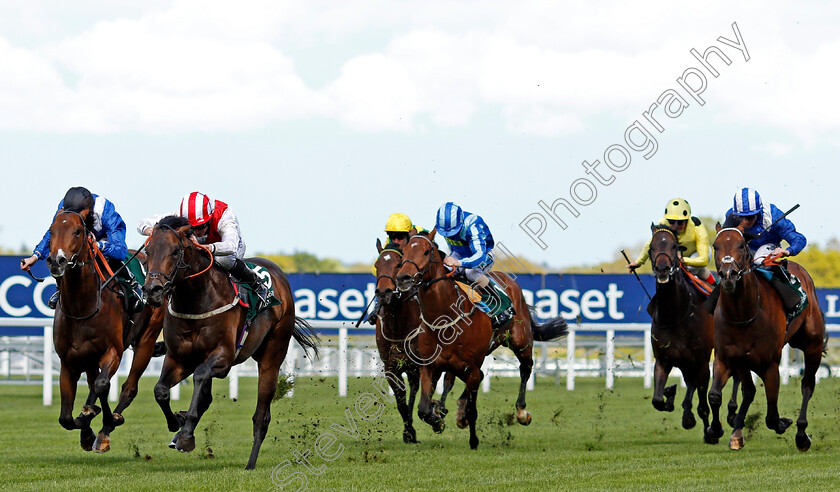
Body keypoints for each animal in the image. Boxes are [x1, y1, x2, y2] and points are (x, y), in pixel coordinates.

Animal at [46, 209, 164, 454]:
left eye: (77, 231)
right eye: (51, 230)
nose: (56, 260)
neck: (82, 308)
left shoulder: (113, 352)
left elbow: (102, 385)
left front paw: (106, 420)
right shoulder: (68, 361)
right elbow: (65, 417)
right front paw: (85, 424)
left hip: (147, 339)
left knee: (128, 387)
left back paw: (106, 427)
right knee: (94, 384)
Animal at [143, 216, 316, 468]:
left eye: (175, 251)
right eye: (148, 251)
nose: (152, 290)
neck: (196, 301)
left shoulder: (223, 358)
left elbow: (200, 376)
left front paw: (185, 435)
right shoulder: (178, 358)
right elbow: (161, 391)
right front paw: (176, 423)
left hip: (272, 355)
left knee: (261, 416)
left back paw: (250, 463)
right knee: (205, 397)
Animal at [396, 231, 568, 450]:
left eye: (426, 251)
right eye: (404, 252)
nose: (403, 278)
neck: (445, 317)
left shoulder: (470, 366)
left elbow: (473, 409)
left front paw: (473, 440)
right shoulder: (430, 366)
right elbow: (423, 409)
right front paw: (438, 419)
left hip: (520, 342)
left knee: (525, 368)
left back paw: (521, 412)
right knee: (466, 379)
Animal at [648, 225, 712, 436]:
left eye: (674, 246)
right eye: (651, 247)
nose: (662, 269)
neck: (675, 315)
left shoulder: (702, 361)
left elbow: (704, 405)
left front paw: (710, 432)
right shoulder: (663, 359)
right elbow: (657, 400)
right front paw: (669, 395)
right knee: (690, 383)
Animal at [704, 223, 828, 450]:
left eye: (742, 245)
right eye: (715, 246)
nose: (728, 275)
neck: (744, 315)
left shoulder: (770, 365)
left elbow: (771, 416)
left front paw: (783, 423)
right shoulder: (727, 358)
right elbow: (715, 395)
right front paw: (715, 430)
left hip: (812, 344)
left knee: (807, 385)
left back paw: (802, 434)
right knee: (749, 390)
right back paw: (736, 432)